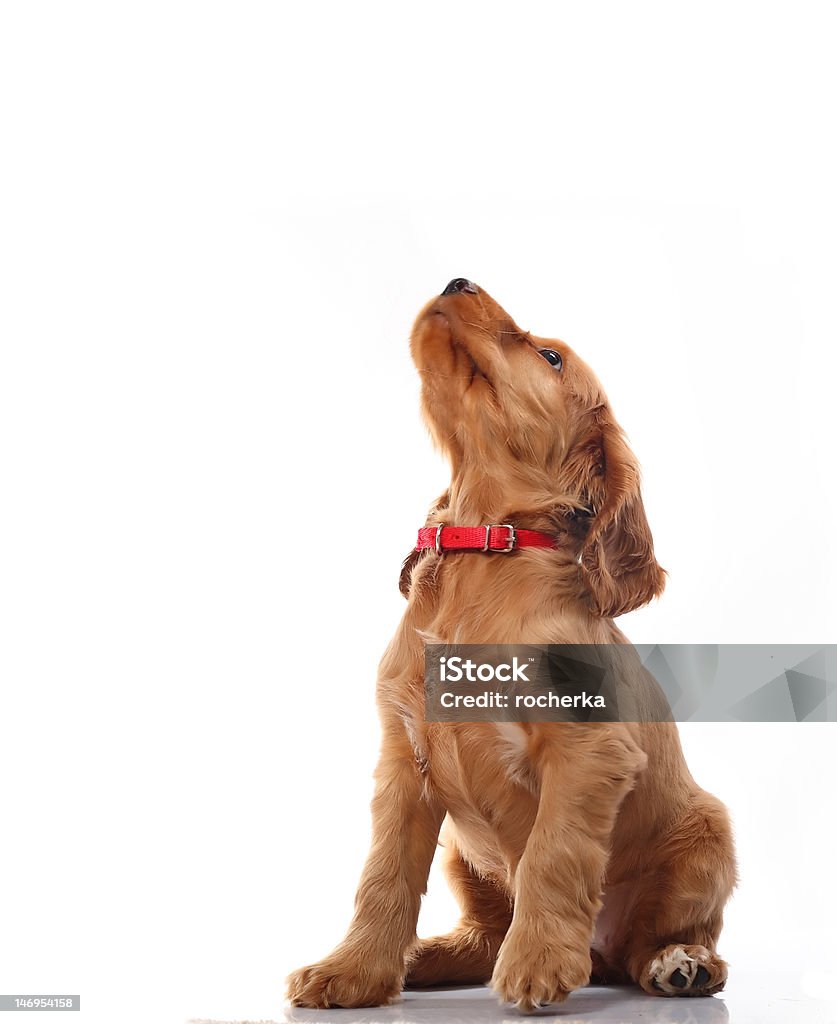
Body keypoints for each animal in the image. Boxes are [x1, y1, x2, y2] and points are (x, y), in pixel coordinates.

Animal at [284, 278, 729, 1007]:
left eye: (550, 357)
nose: (456, 281)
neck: (484, 552)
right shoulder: (402, 761)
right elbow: (382, 875)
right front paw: (351, 971)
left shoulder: (587, 749)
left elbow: (554, 854)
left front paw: (538, 964)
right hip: (463, 856)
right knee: (486, 932)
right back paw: (426, 956)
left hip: (709, 833)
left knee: (655, 939)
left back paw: (681, 963)